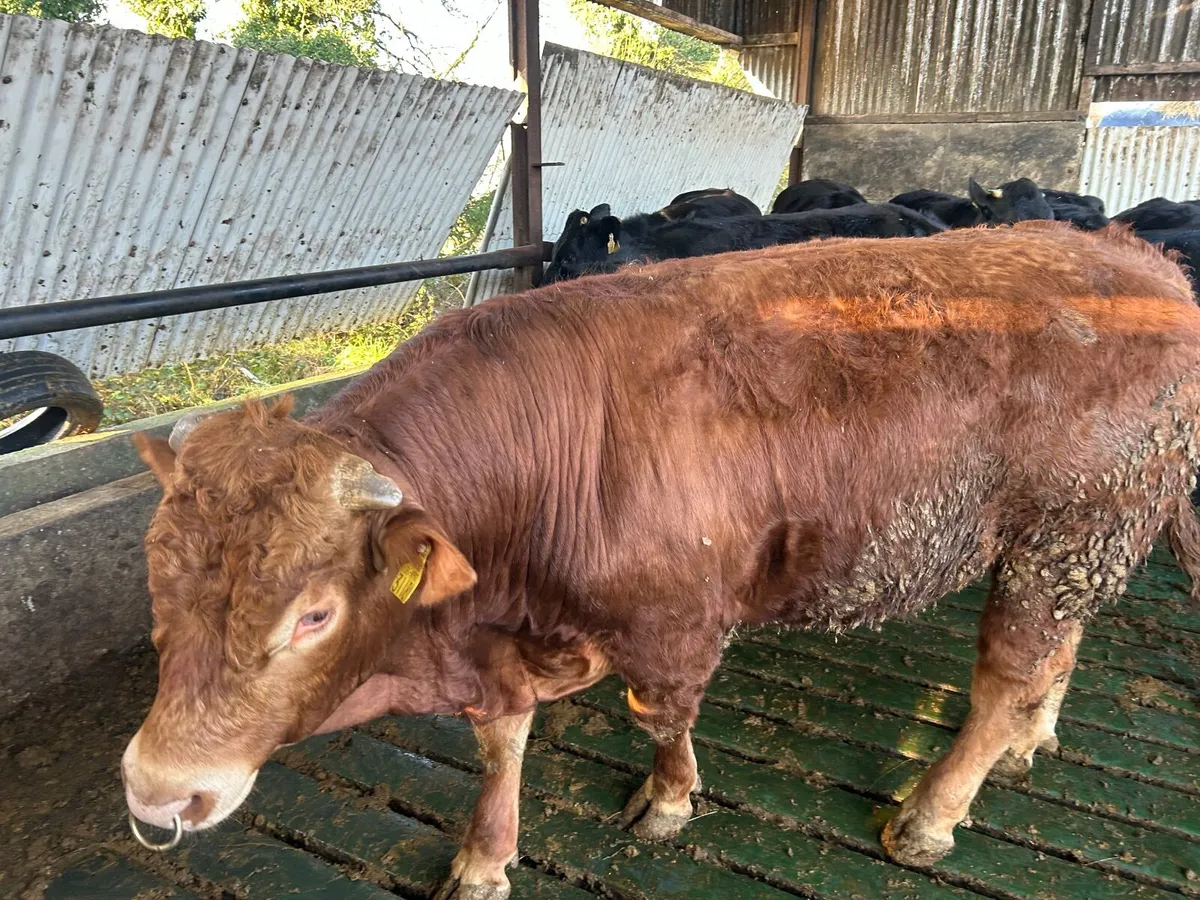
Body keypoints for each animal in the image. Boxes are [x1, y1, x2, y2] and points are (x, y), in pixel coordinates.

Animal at [122, 222, 1200, 900]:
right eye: (155, 580)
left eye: (313, 614)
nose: (157, 792)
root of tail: (1133, 255)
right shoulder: (503, 641)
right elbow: (501, 741)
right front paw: (484, 857)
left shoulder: (673, 622)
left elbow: (662, 717)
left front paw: (669, 801)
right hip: (1078, 547)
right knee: (1057, 651)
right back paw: (1031, 737)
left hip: (1064, 531)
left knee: (1002, 678)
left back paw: (934, 810)